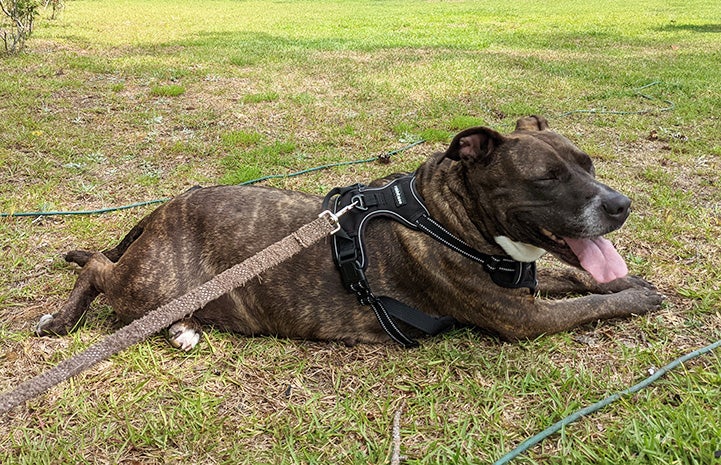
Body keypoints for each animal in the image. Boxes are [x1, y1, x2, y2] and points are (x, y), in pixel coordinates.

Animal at [35, 116, 664, 348]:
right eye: (547, 178)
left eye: (587, 163)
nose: (621, 204)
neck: (448, 216)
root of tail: (165, 208)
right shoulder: (524, 320)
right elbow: (590, 305)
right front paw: (636, 298)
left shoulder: (524, 285)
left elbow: (576, 279)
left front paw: (622, 282)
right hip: (146, 282)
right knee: (98, 269)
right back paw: (58, 320)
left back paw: (181, 329)